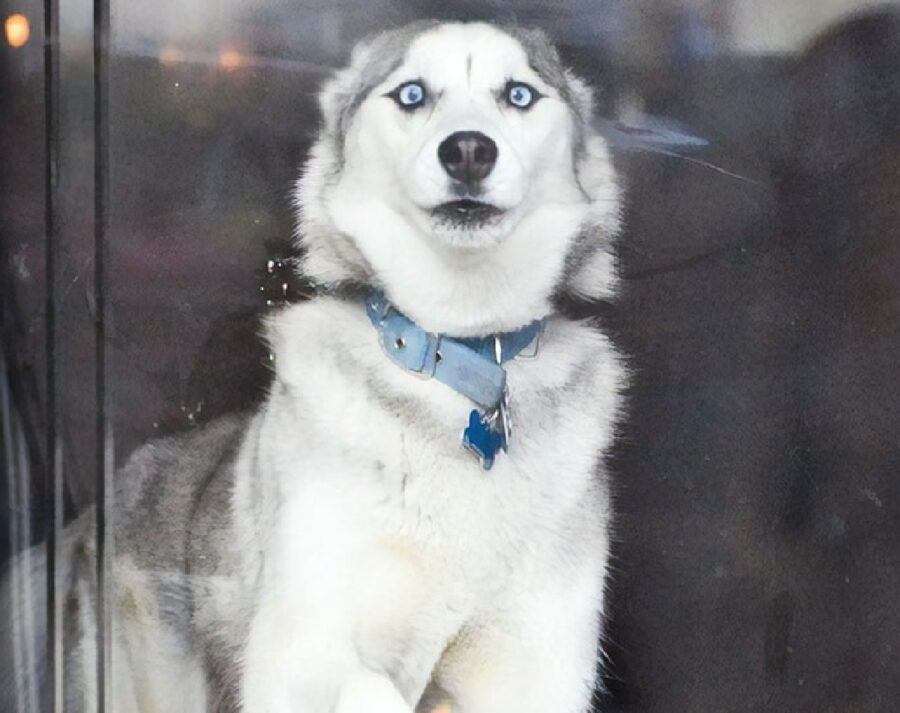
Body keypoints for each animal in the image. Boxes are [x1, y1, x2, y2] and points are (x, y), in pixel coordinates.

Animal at [0, 19, 624, 708]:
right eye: (411, 93)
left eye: (518, 94)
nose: (467, 151)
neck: (455, 360)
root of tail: (93, 514)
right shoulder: (303, 655)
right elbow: (364, 685)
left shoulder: (534, 671)